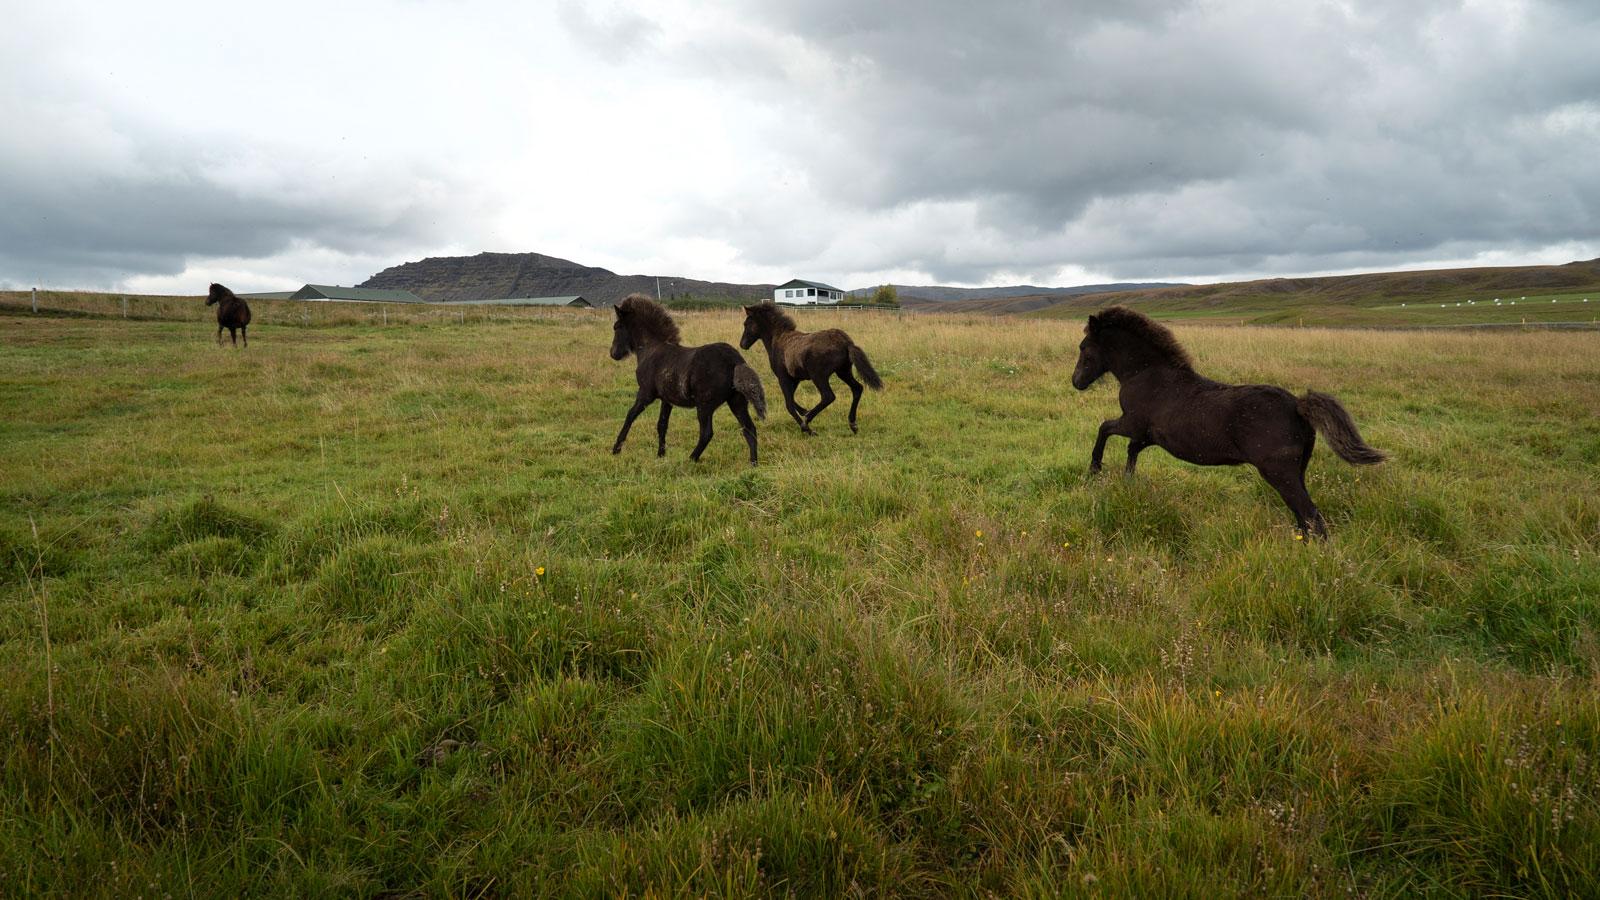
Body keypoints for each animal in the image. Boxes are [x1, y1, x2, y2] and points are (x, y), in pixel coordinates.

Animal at [610, 294, 768, 464]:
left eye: (617, 327)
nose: (613, 353)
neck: (651, 349)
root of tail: (735, 360)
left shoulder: (645, 394)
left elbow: (630, 416)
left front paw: (616, 449)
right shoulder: (667, 399)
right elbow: (662, 424)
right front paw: (660, 455)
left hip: (705, 405)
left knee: (707, 432)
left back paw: (691, 459)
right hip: (737, 401)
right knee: (749, 429)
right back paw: (753, 462)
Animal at [738, 301, 882, 434]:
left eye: (746, 324)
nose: (742, 344)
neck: (778, 339)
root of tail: (847, 343)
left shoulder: (783, 377)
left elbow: (789, 403)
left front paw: (806, 427)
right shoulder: (795, 378)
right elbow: (792, 399)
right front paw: (804, 411)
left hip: (818, 375)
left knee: (828, 396)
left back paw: (807, 421)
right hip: (843, 372)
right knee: (857, 388)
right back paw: (853, 424)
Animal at [1071, 306, 1386, 538]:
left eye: (1084, 347)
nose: (1076, 382)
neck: (1145, 374)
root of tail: (1297, 406)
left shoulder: (1132, 423)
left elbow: (1104, 428)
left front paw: (1095, 469)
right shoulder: (1148, 435)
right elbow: (1131, 450)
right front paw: (1127, 482)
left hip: (1279, 473)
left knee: (1312, 518)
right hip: (1297, 472)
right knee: (1304, 519)